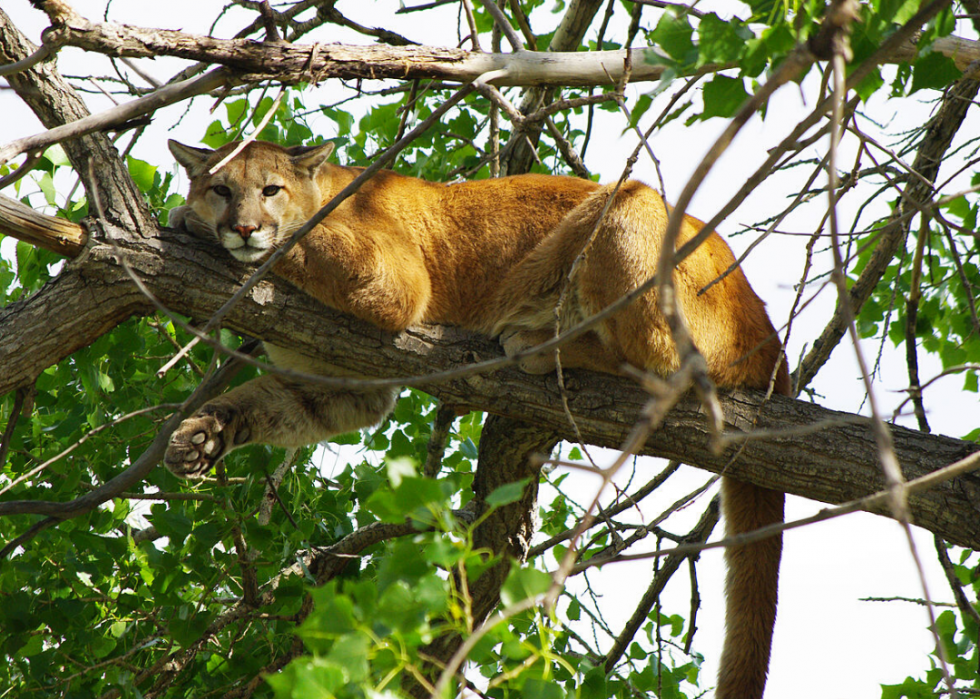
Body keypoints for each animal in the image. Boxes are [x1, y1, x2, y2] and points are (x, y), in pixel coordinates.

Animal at [161, 138, 788, 699]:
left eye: (271, 190)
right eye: (221, 189)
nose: (242, 227)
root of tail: (767, 329)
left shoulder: (392, 282)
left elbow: (297, 239)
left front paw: (196, 225)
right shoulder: (337, 384)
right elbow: (259, 405)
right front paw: (198, 439)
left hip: (629, 207)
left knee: (668, 364)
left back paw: (535, 341)